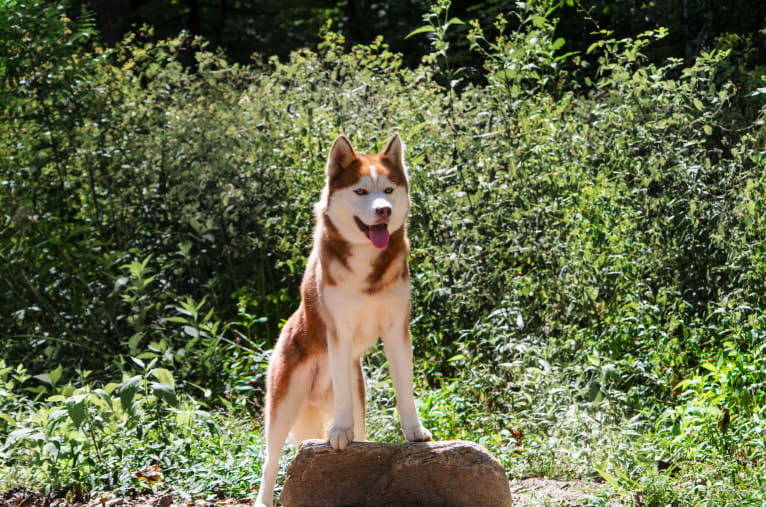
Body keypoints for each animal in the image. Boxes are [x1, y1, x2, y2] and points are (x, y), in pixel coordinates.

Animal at [256, 133, 432, 506]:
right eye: (361, 191)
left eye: (388, 190)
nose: (383, 210)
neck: (367, 265)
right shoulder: (338, 332)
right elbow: (342, 406)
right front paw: (339, 431)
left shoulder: (397, 330)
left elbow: (404, 388)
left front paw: (413, 431)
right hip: (282, 406)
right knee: (270, 461)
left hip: (356, 387)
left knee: (359, 427)